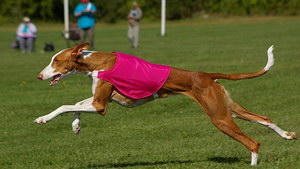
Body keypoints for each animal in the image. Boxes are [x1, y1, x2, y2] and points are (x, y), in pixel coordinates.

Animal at [34, 43, 296, 166]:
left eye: (56, 60)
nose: (39, 76)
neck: (96, 62)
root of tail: (205, 75)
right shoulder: (102, 99)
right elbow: (75, 104)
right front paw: (76, 126)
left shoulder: (101, 105)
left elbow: (65, 105)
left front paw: (43, 118)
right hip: (228, 109)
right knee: (265, 119)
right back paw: (287, 135)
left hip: (219, 118)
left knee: (253, 141)